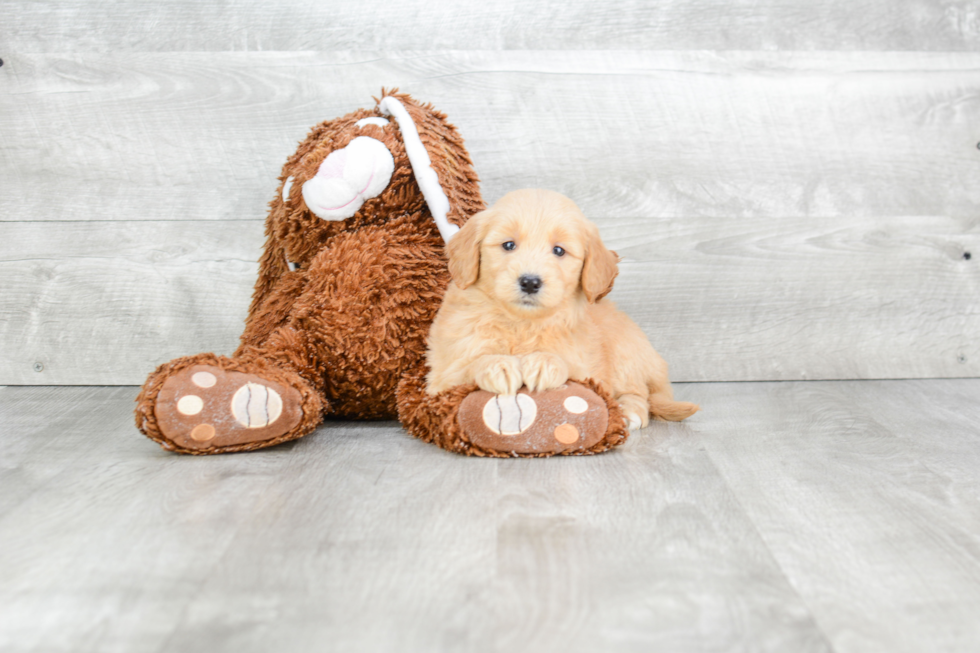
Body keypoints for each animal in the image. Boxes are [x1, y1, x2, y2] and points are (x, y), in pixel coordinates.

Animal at [426, 188, 696, 428]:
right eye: (508, 245)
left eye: (558, 250)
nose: (530, 282)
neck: (522, 324)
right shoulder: (441, 375)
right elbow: (467, 365)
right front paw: (498, 365)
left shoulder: (588, 367)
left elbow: (571, 367)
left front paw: (545, 362)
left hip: (625, 351)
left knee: (640, 391)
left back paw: (630, 411)